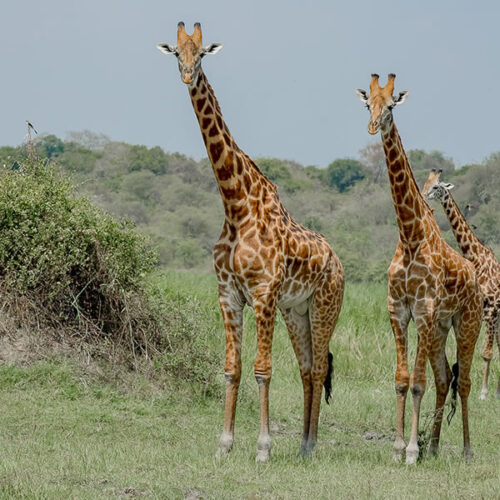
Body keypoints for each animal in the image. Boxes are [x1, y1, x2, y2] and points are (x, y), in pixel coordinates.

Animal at [156, 22, 344, 460]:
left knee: (320, 368)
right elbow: (232, 369)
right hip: (297, 311)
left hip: (325, 306)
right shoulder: (228, 294)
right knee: (307, 369)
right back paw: (304, 445)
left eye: (201, 53)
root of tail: (339, 262)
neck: (235, 205)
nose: (187, 76)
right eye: (176, 53)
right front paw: (224, 444)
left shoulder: (262, 294)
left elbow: (262, 370)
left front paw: (262, 448)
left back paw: (310, 445)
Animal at [356, 74, 484, 464]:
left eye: (391, 106)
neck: (410, 235)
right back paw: (437, 445)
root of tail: (475, 275)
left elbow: (416, 383)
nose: (373, 126)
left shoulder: (423, 310)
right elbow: (401, 380)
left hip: (467, 322)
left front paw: (412, 450)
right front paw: (399, 448)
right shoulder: (398, 310)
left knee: (464, 381)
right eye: (367, 104)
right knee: (444, 379)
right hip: (440, 328)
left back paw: (466, 450)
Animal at [422, 170, 500, 400]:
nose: (424, 195)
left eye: (437, 187)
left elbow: (486, 353)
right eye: (426, 183)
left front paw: (483, 393)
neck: (476, 256)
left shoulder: (490, 310)